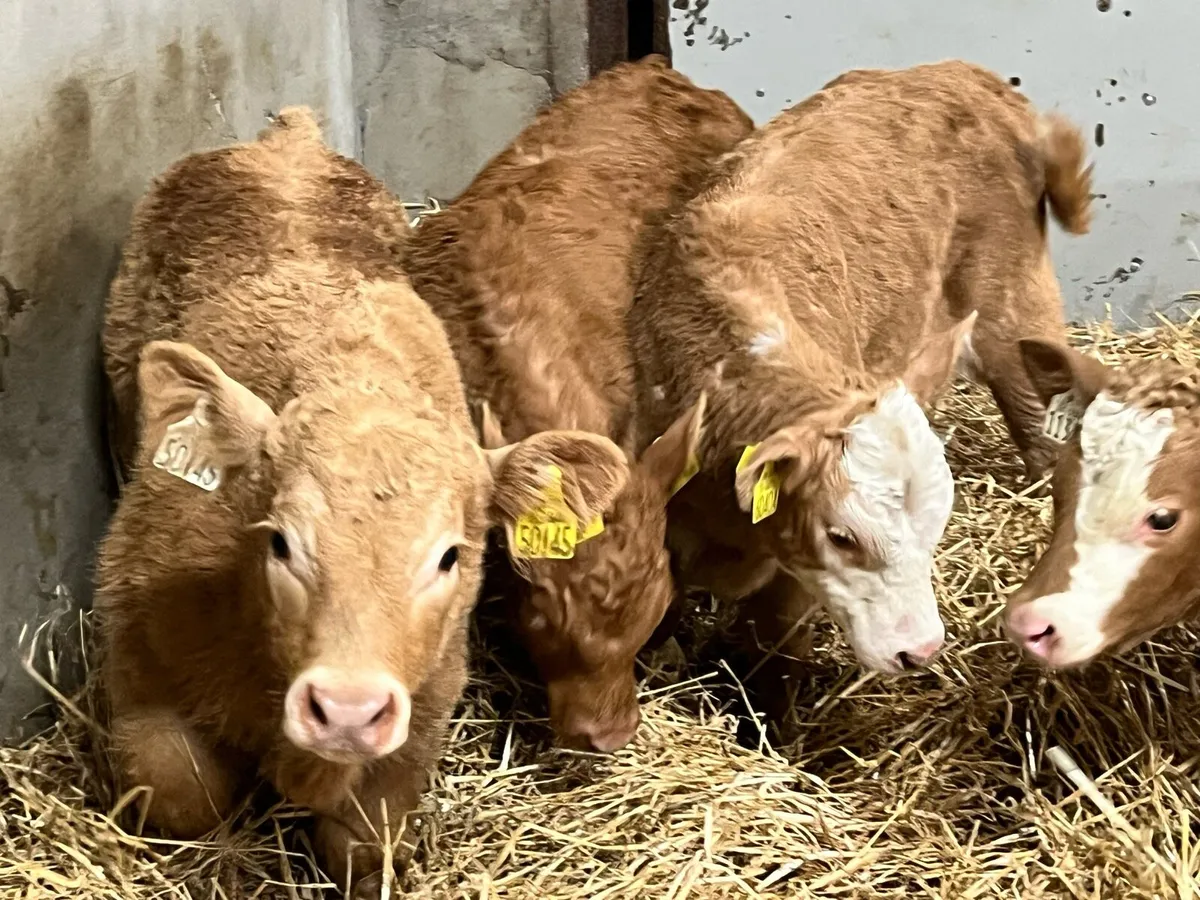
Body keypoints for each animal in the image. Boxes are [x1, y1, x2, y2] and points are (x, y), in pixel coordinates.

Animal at [96, 108, 627, 894]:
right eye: (280, 541)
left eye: (449, 557)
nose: (346, 709)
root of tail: (289, 139)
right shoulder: (139, 666)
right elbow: (183, 796)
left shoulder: (416, 728)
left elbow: (363, 845)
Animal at [628, 60, 1093, 687]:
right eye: (841, 536)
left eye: (938, 526)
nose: (920, 650)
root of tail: (964, 74)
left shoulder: (790, 582)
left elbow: (773, 648)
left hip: (1016, 311)